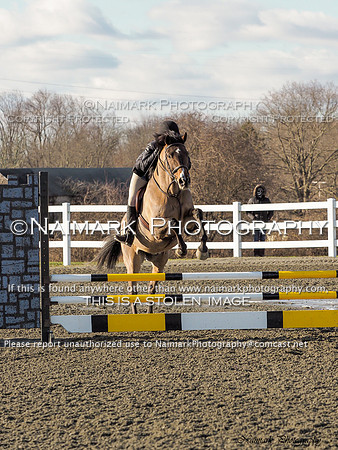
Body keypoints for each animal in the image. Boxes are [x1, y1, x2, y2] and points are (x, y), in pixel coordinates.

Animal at [95, 132, 209, 312]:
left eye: (187, 154)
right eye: (170, 155)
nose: (184, 181)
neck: (172, 191)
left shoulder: (188, 221)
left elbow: (198, 214)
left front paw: (202, 250)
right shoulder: (157, 229)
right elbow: (173, 223)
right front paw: (181, 250)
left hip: (159, 261)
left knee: (151, 288)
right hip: (132, 259)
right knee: (132, 289)